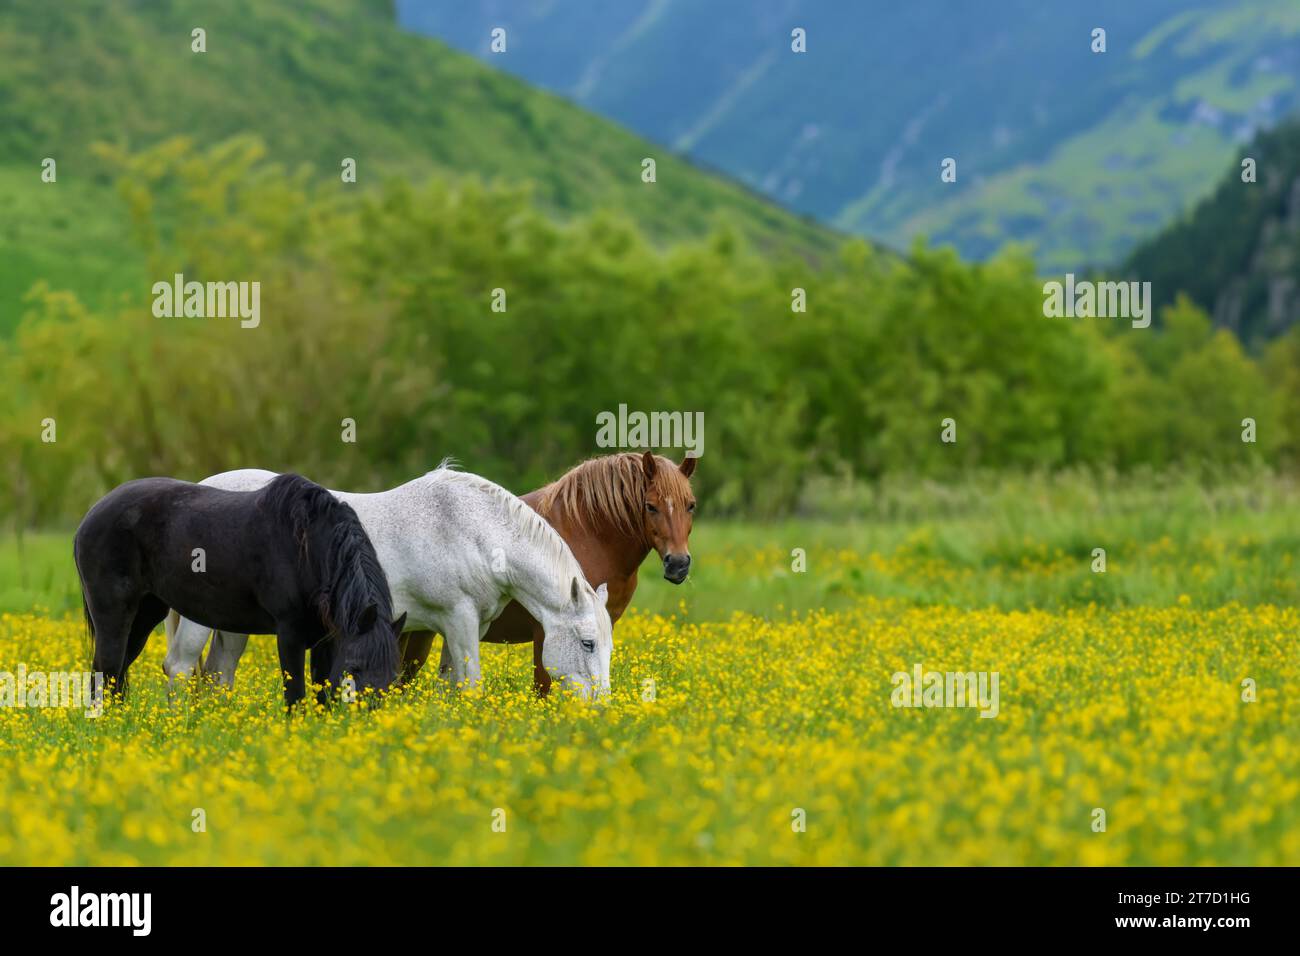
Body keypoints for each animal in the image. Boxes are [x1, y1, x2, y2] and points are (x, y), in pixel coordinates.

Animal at [76, 473, 400, 707]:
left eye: (393, 673)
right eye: (355, 667)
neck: (305, 547)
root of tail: (91, 514)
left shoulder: (327, 638)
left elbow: (322, 691)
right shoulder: (290, 634)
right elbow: (295, 693)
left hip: (146, 613)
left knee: (118, 670)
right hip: (114, 614)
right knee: (107, 667)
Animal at [161, 463, 608, 697]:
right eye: (588, 643)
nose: (601, 708)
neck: (476, 531)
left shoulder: (464, 627)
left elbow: (450, 686)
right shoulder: (459, 621)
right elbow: (470, 685)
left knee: (218, 674)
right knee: (180, 667)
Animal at [400, 452, 696, 691]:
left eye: (690, 505)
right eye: (650, 506)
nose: (678, 564)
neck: (588, 536)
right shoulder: (547, 632)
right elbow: (543, 688)